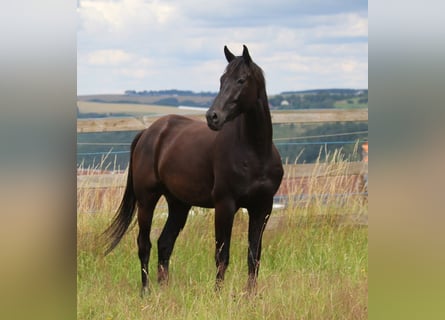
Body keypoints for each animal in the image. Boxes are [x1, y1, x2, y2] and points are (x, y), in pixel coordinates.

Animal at [104, 45, 282, 296]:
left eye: (241, 80)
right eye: (221, 80)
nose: (212, 117)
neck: (255, 152)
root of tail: (148, 133)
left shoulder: (262, 208)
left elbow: (254, 256)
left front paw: (251, 296)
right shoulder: (225, 205)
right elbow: (222, 255)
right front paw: (218, 295)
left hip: (179, 204)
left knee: (164, 243)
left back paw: (164, 290)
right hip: (146, 200)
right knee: (144, 244)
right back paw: (146, 291)